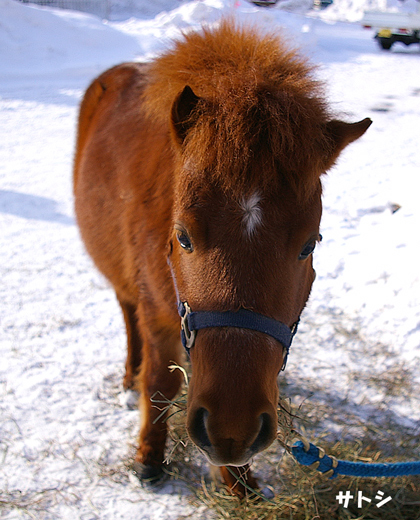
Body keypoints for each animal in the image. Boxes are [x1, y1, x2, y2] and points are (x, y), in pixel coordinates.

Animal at [73, 21, 370, 496]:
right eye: (182, 237)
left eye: (309, 245)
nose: (231, 428)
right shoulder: (158, 314)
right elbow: (161, 383)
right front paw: (148, 459)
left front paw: (240, 484)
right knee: (126, 313)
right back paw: (129, 377)